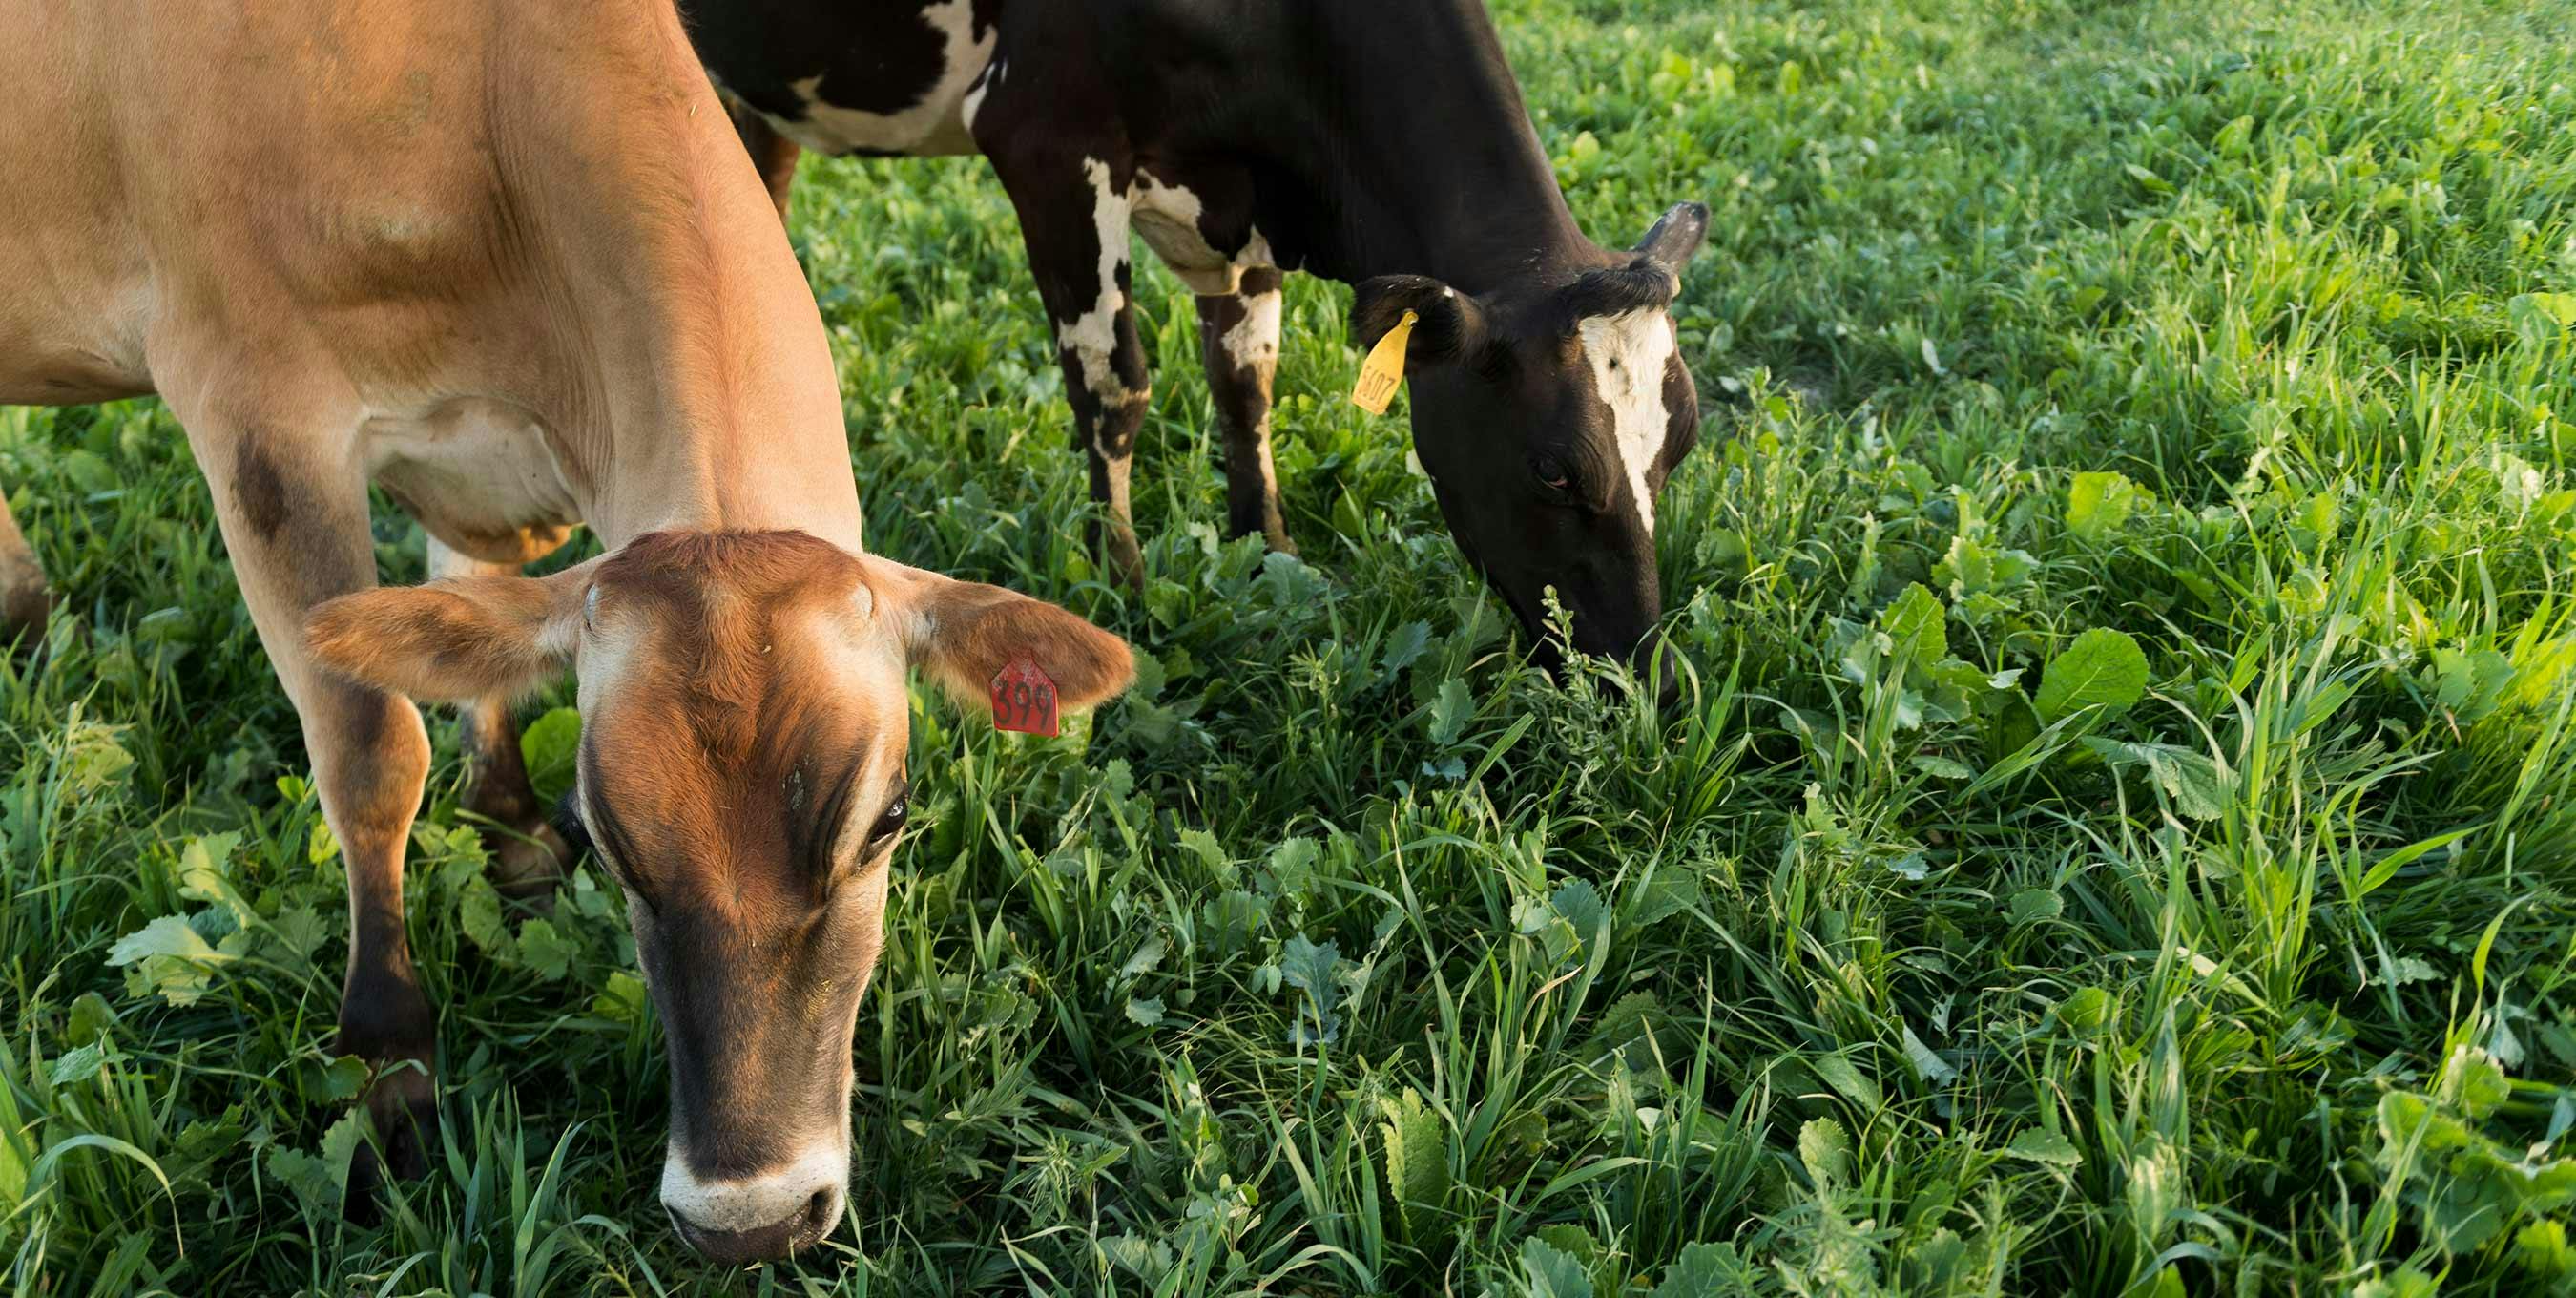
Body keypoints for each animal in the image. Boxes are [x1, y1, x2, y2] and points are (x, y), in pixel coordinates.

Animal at [0, 0, 1128, 1262]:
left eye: (888, 819)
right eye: (617, 838)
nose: (750, 1219)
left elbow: (477, 632)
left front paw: (511, 839)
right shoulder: (258, 418)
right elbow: (372, 755)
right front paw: (389, 1064)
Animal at [685, 0, 1710, 669]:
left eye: (1683, 447)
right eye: (1553, 470)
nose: (1638, 672)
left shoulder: (1248, 205)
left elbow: (1245, 378)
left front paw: (1268, 547)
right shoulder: (1049, 138)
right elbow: (1114, 387)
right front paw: (1124, 584)